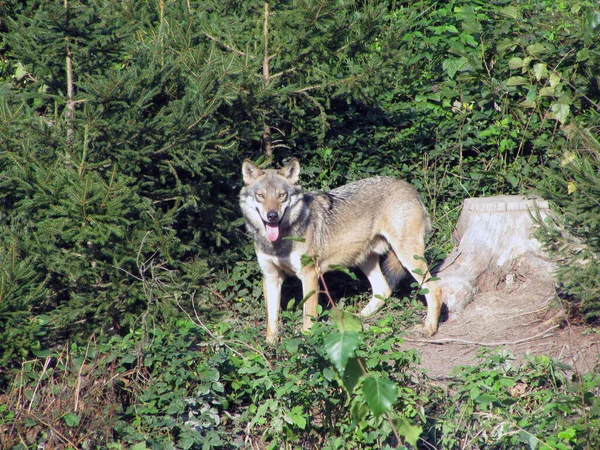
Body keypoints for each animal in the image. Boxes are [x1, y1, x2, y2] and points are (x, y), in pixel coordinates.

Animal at [239, 158, 440, 342]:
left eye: (281, 195)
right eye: (260, 195)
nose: (272, 216)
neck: (279, 242)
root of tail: (411, 189)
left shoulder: (309, 275)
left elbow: (308, 317)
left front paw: (307, 343)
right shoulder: (271, 277)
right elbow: (271, 321)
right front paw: (269, 347)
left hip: (408, 258)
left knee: (434, 289)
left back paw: (428, 329)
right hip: (365, 260)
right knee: (383, 290)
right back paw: (355, 320)